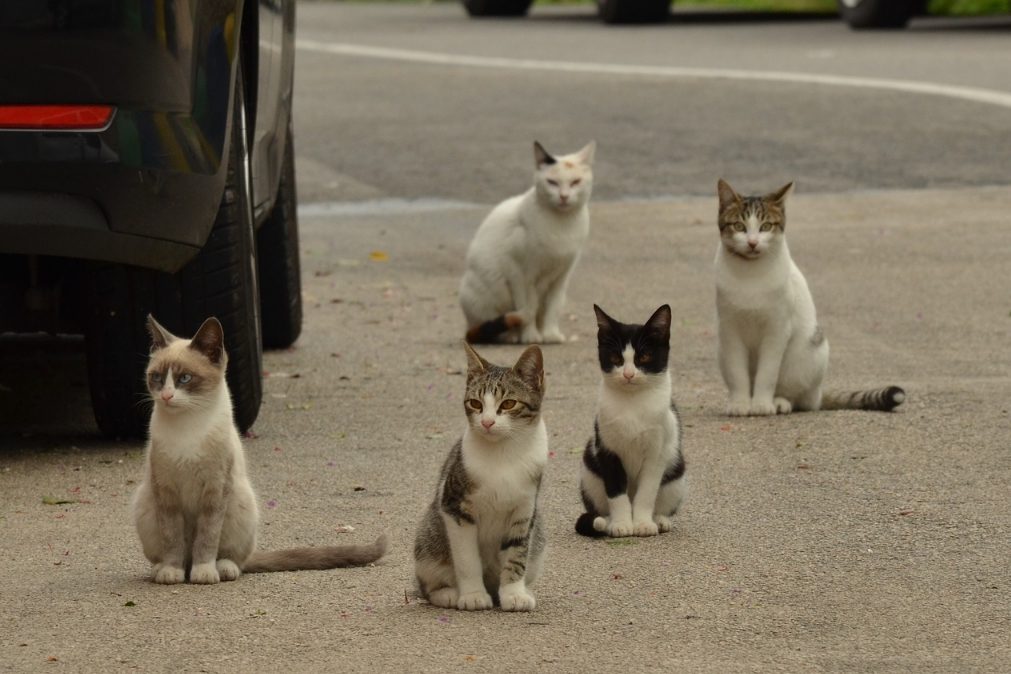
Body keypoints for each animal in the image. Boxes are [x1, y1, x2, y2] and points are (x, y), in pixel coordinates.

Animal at [132, 317, 384, 586]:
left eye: (185, 378)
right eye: (157, 377)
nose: (167, 396)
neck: (187, 427)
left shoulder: (215, 490)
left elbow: (207, 538)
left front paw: (204, 572)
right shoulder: (166, 492)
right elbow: (172, 538)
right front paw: (171, 571)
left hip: (240, 502)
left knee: (235, 559)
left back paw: (221, 569)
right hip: (145, 504)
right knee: (175, 553)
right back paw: (164, 569)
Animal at [414, 345, 549, 614]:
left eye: (508, 403)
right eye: (475, 403)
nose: (487, 422)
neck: (504, 453)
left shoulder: (524, 511)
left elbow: (517, 554)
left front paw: (514, 594)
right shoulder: (455, 507)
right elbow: (467, 559)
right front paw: (473, 595)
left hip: (538, 537)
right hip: (427, 542)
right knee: (428, 585)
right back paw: (447, 593)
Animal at [458, 140, 590, 345]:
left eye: (575, 182)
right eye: (552, 182)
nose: (564, 196)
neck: (561, 225)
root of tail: (468, 326)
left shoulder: (562, 275)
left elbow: (552, 307)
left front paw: (550, 334)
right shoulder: (519, 273)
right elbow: (528, 306)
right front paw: (530, 336)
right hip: (480, 293)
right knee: (492, 327)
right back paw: (511, 336)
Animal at [578, 305, 687, 537]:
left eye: (644, 356)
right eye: (615, 358)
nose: (628, 374)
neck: (633, 403)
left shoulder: (657, 452)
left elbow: (647, 492)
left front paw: (643, 523)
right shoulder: (607, 448)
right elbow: (616, 492)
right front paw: (621, 523)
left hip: (676, 471)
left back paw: (659, 520)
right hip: (589, 470)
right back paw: (607, 521)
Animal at [711, 177, 909, 416]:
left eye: (765, 226)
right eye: (739, 226)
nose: (752, 243)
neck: (750, 274)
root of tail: (819, 393)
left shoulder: (777, 329)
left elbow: (768, 373)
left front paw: (761, 404)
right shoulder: (730, 329)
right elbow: (737, 373)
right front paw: (740, 403)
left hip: (808, 353)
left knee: (800, 398)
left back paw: (780, 402)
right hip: (721, 350)